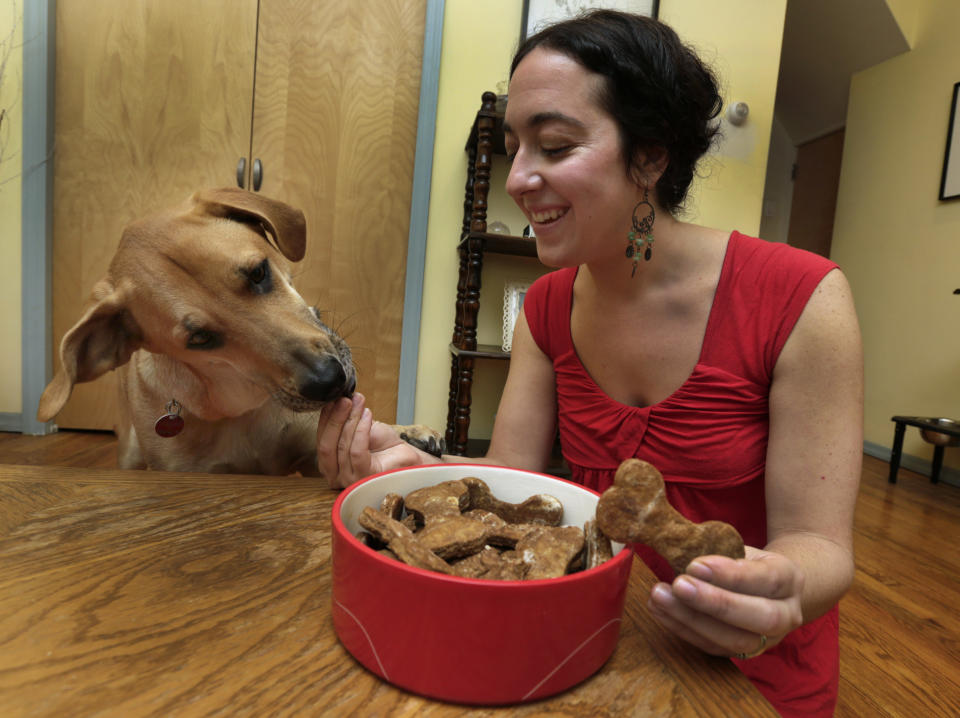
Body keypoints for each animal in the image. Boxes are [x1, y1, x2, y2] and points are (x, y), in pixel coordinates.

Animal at [36, 188, 442, 476]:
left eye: (258, 272)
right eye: (200, 339)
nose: (329, 381)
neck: (238, 408)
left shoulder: (309, 450)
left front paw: (406, 434)